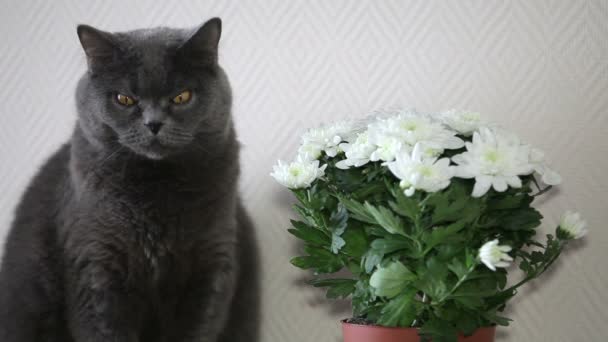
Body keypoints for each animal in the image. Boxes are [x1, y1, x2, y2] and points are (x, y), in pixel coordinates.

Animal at [0, 18, 258, 342]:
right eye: (124, 99)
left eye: (181, 97)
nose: (153, 123)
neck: (156, 188)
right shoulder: (96, 267)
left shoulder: (212, 264)